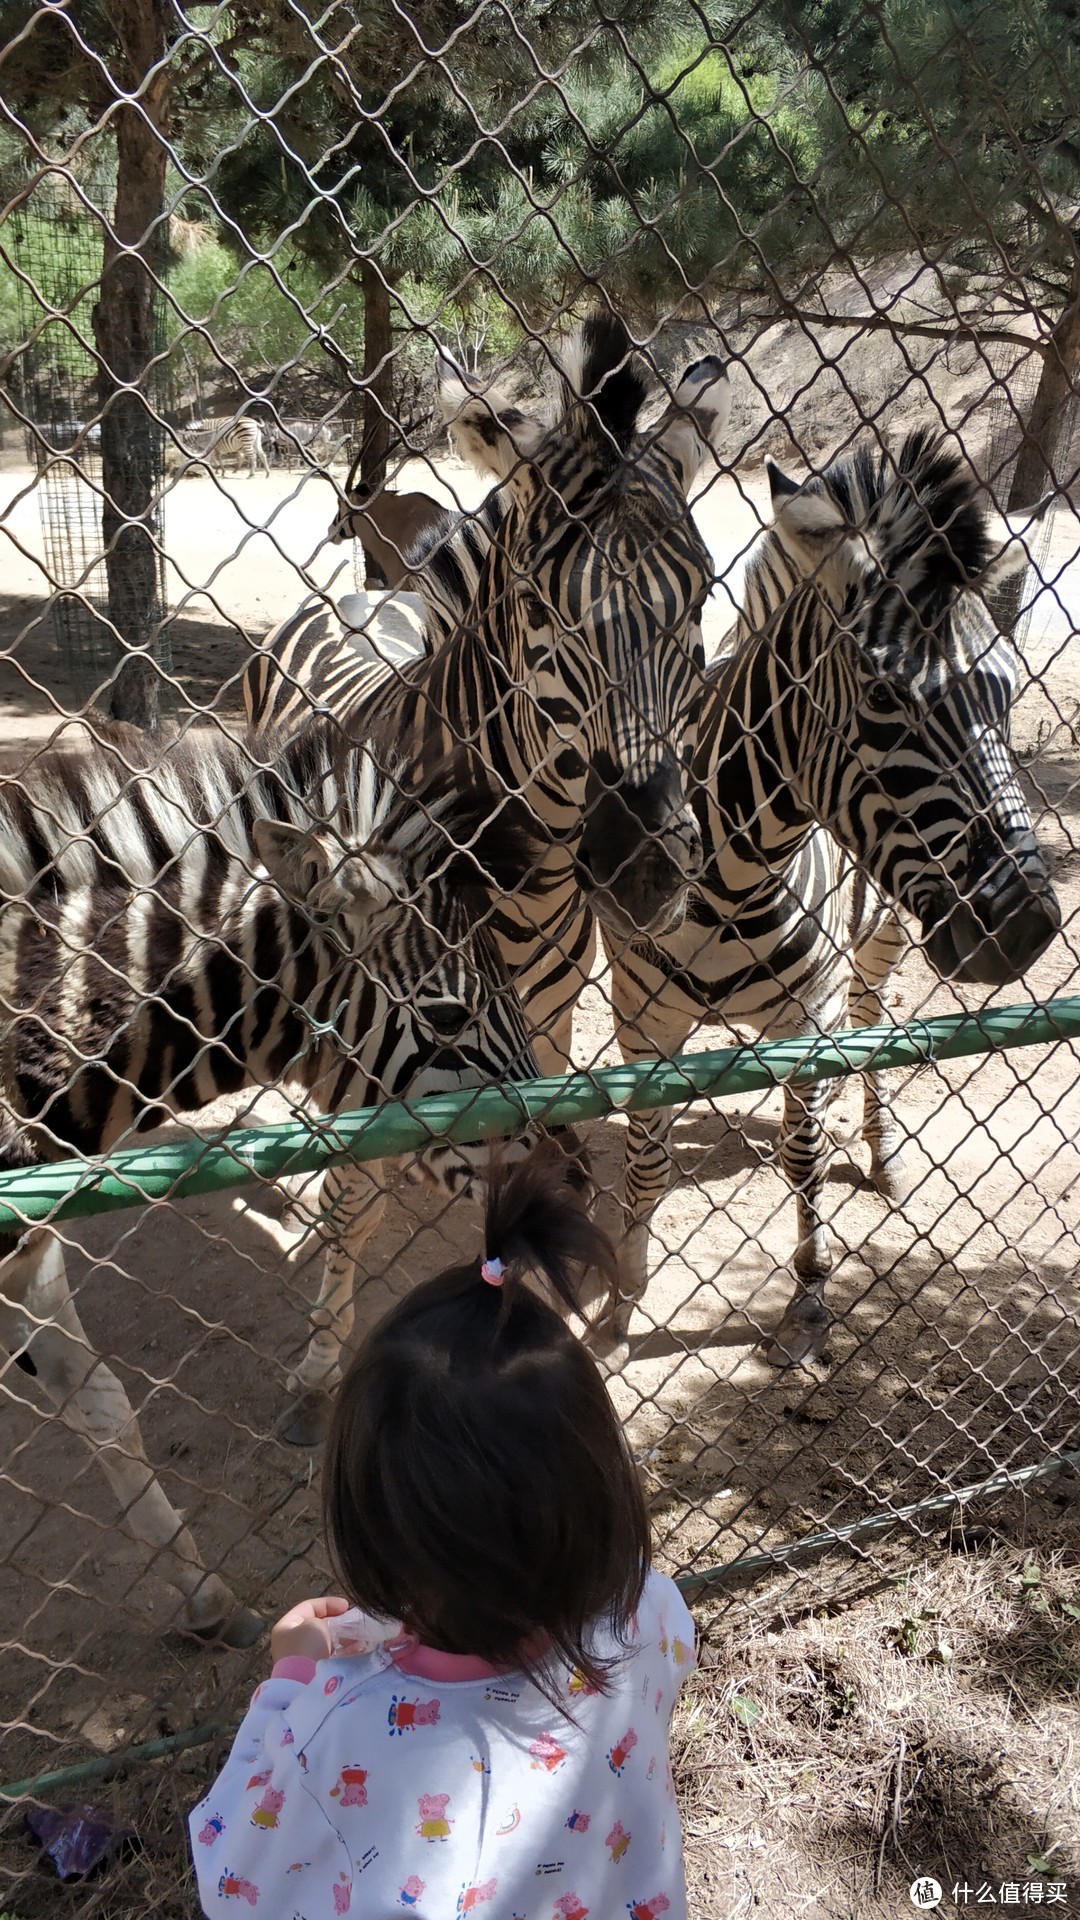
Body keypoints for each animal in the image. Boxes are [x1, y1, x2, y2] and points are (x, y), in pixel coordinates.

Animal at [599, 435, 1053, 1367]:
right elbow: (647, 1164)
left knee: (872, 1020)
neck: (731, 881)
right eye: (883, 695)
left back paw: (882, 1155)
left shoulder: (807, 1022)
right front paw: (622, 1306)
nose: (1027, 924)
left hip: (882, 931)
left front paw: (809, 1296)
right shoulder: (642, 1021)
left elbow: (802, 1155)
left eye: (1007, 696)